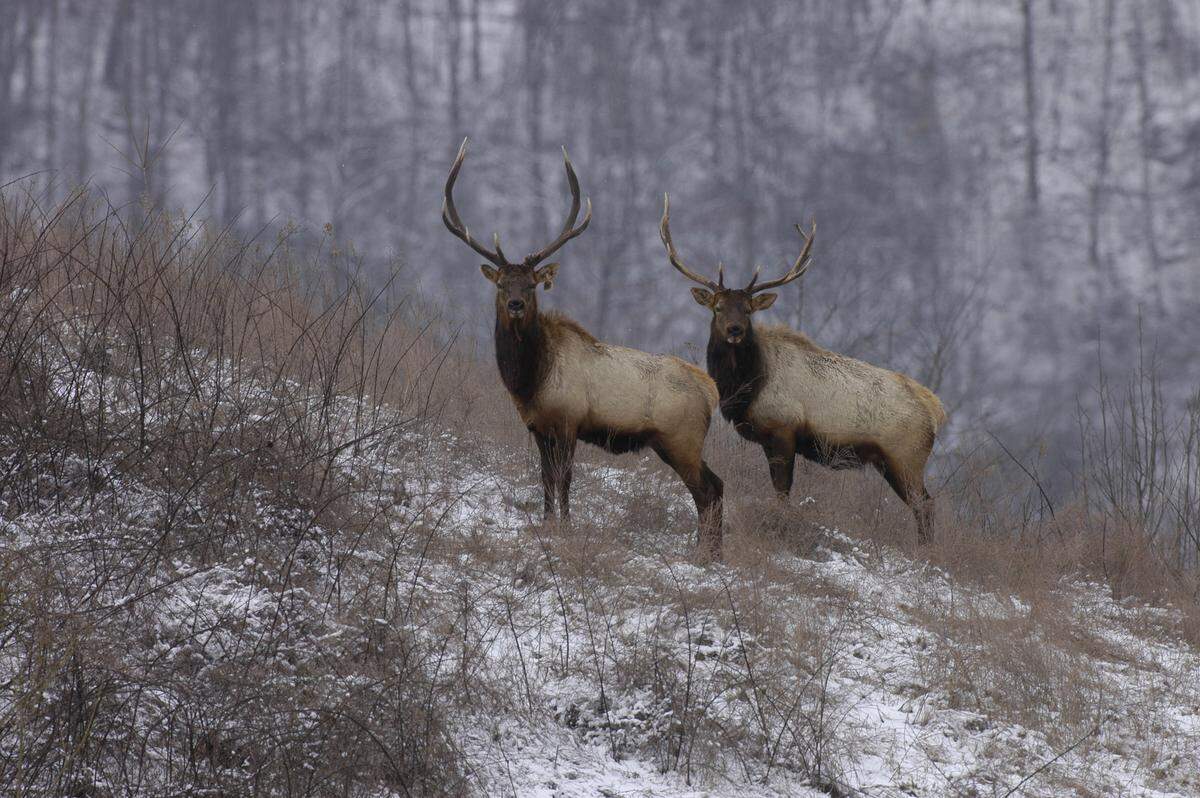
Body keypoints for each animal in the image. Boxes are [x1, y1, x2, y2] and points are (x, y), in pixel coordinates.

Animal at [442, 140, 725, 557]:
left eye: (531, 284)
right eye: (502, 284)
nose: (516, 305)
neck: (531, 380)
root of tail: (711, 389)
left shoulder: (568, 421)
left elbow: (565, 479)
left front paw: (566, 527)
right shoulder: (538, 426)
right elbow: (545, 479)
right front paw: (547, 525)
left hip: (681, 438)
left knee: (707, 490)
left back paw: (705, 554)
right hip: (680, 441)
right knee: (715, 486)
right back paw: (713, 552)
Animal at [658, 195, 947, 542]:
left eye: (748, 309)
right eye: (718, 307)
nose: (735, 330)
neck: (747, 385)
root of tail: (935, 410)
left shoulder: (783, 429)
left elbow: (782, 490)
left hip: (905, 456)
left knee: (925, 504)